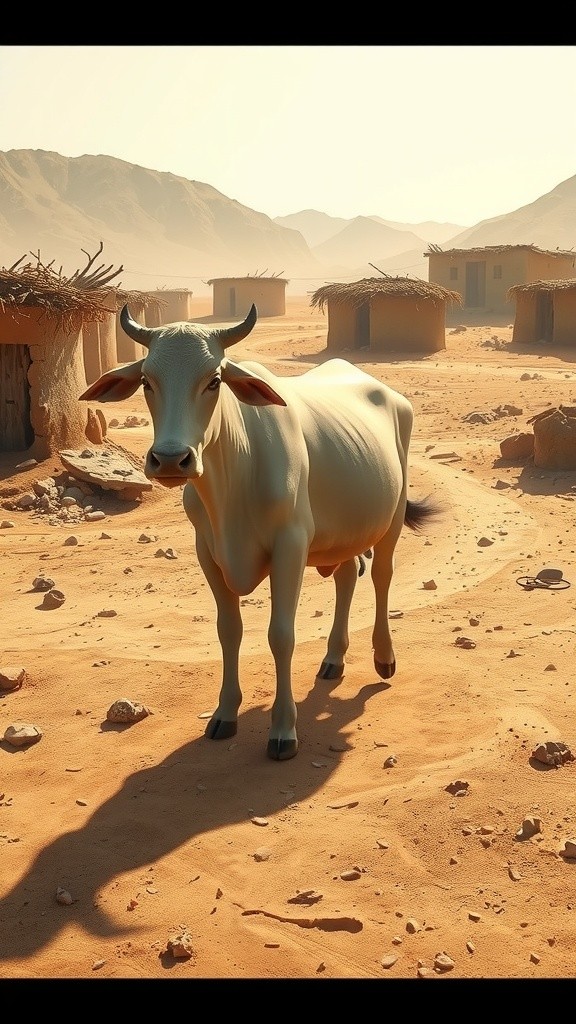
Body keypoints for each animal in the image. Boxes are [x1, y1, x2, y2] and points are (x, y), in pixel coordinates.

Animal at [80, 304, 438, 761]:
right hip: (341, 534)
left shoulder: (291, 545)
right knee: (346, 576)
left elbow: (280, 635)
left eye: (214, 380)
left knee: (381, 576)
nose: (171, 459)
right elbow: (228, 630)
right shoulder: (207, 551)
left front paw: (283, 729)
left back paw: (384, 657)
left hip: (391, 517)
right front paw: (224, 713)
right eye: (147, 380)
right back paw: (334, 658)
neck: (233, 480)